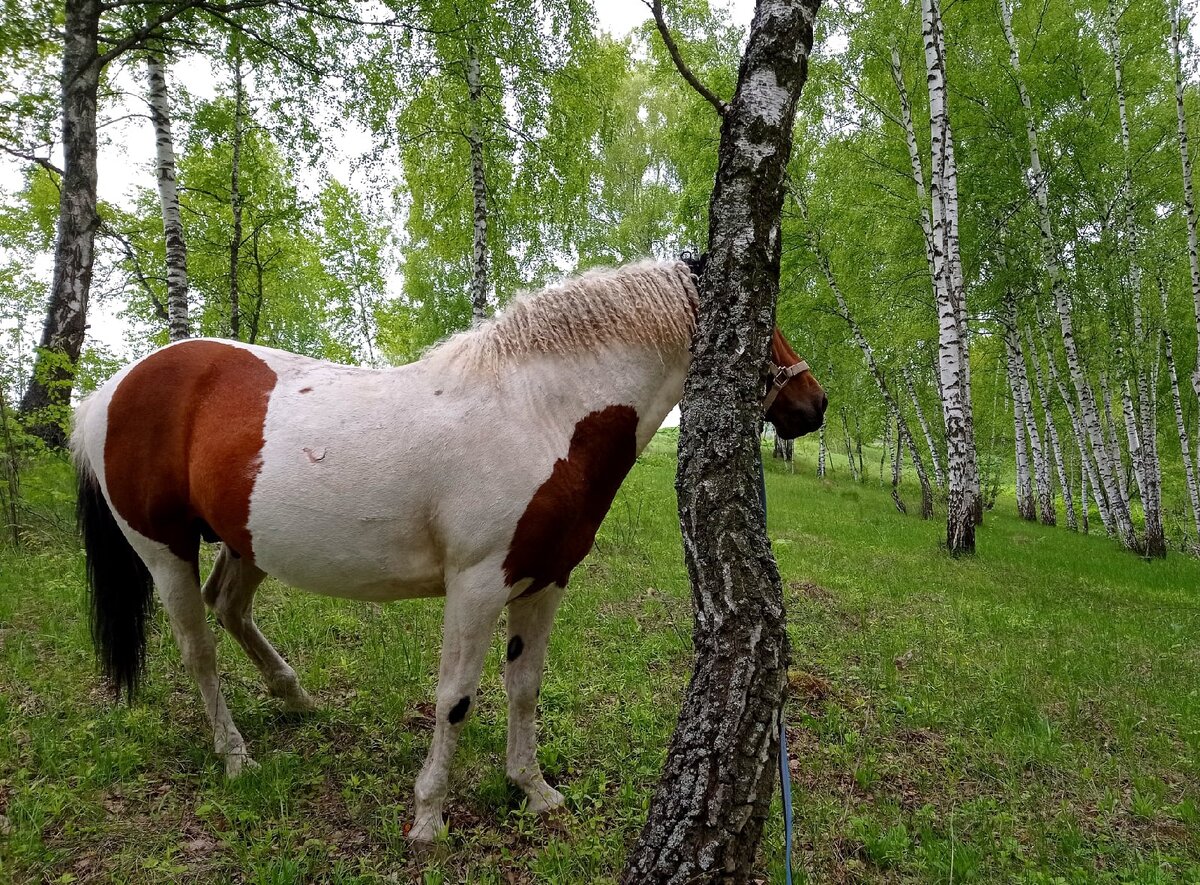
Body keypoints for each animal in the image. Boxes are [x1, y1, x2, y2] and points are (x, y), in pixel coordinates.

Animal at [72, 256, 825, 839]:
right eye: (764, 319)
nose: (814, 404)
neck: (540, 415)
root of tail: (110, 390)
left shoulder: (545, 581)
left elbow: (524, 686)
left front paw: (533, 789)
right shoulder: (477, 585)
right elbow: (456, 697)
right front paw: (428, 815)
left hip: (247, 542)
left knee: (229, 608)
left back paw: (297, 699)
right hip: (164, 549)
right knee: (198, 648)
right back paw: (235, 755)